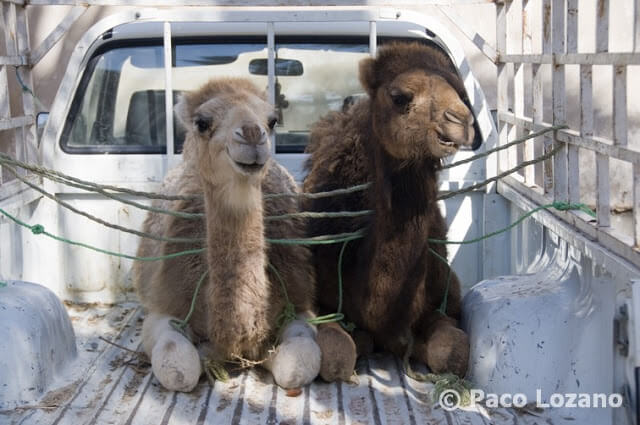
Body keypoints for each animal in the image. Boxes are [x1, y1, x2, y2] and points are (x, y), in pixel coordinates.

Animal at [136, 77, 324, 390]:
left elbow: (296, 366)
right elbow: (179, 368)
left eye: (272, 120)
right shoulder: (165, 305)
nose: (252, 134)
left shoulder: (298, 300)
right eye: (202, 122)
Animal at [302, 41, 478, 380]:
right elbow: (338, 355)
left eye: (464, 95)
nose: (460, 121)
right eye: (399, 97)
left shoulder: (444, 299)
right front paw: (357, 342)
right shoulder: (319, 299)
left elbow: (452, 352)